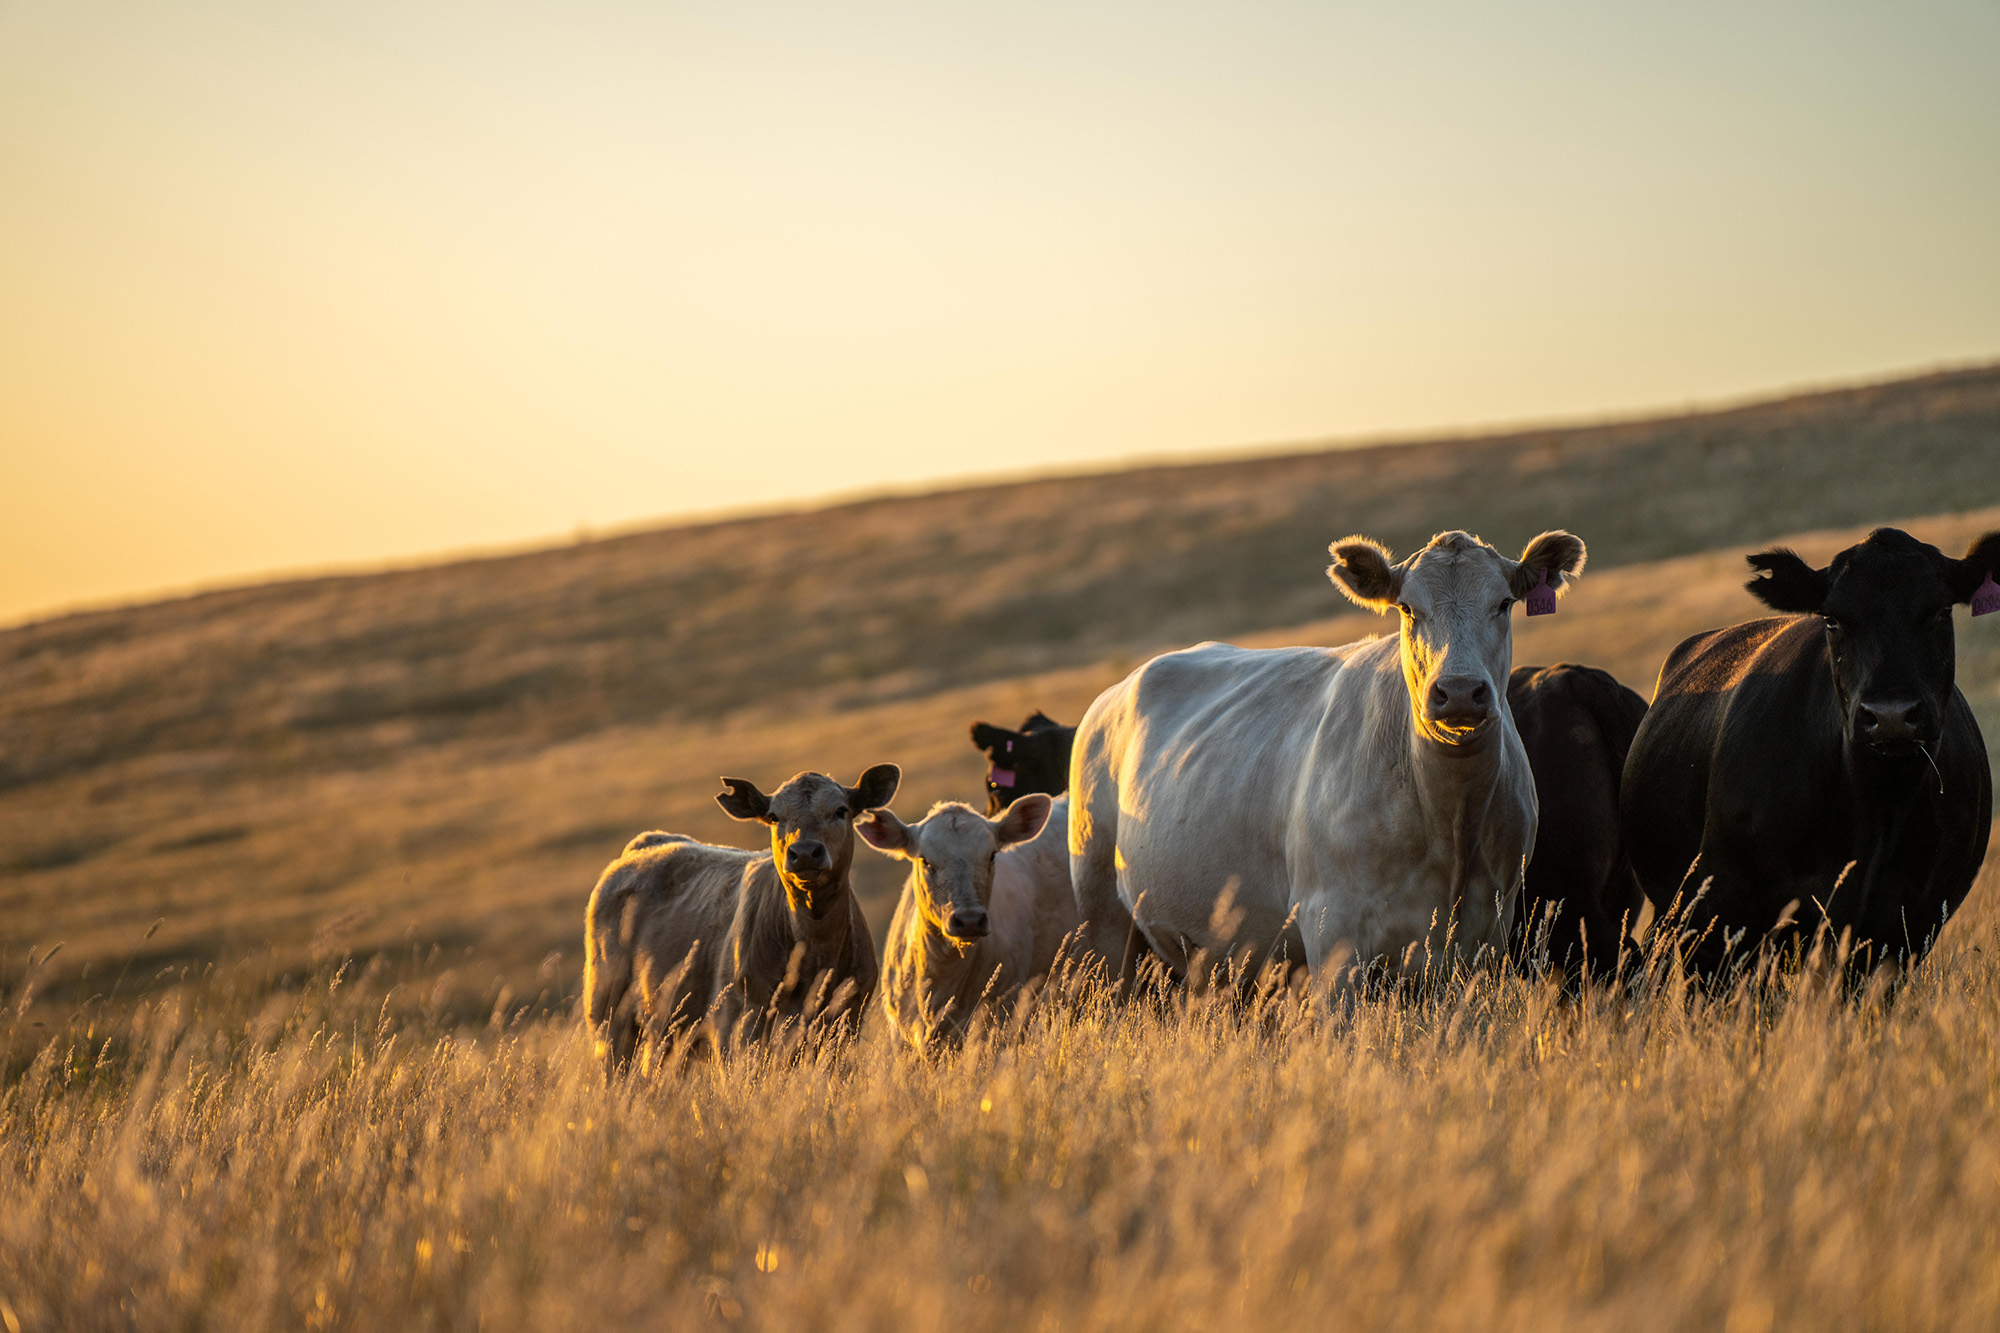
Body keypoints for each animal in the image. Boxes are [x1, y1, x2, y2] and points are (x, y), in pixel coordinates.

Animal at [583, 764, 899, 1072]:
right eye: (774, 817)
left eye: (840, 810)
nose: (805, 852)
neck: (815, 948)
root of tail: (649, 842)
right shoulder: (736, 1024)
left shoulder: (846, 1023)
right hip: (608, 1017)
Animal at [1068, 529, 1587, 989]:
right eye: (1407, 608)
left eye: (1503, 603)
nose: (1459, 691)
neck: (1449, 821)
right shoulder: (1332, 929)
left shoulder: (1486, 936)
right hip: (1104, 919)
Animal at [1621, 527, 1997, 978]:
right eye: (1832, 620)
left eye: (1941, 611)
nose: (1890, 715)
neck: (1873, 810)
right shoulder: (1724, 914)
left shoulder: (1904, 932)